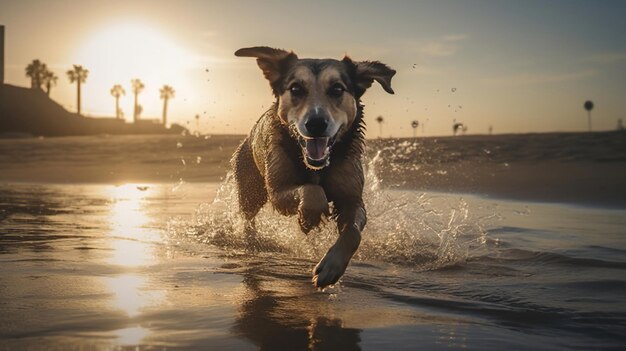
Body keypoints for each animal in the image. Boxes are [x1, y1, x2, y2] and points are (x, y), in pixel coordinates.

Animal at [229, 46, 394, 288]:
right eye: (296, 88)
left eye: (337, 89)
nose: (316, 123)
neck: (317, 168)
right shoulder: (278, 190)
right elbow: (312, 191)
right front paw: (307, 219)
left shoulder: (352, 197)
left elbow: (353, 232)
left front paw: (331, 266)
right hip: (251, 188)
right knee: (248, 218)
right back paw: (252, 243)